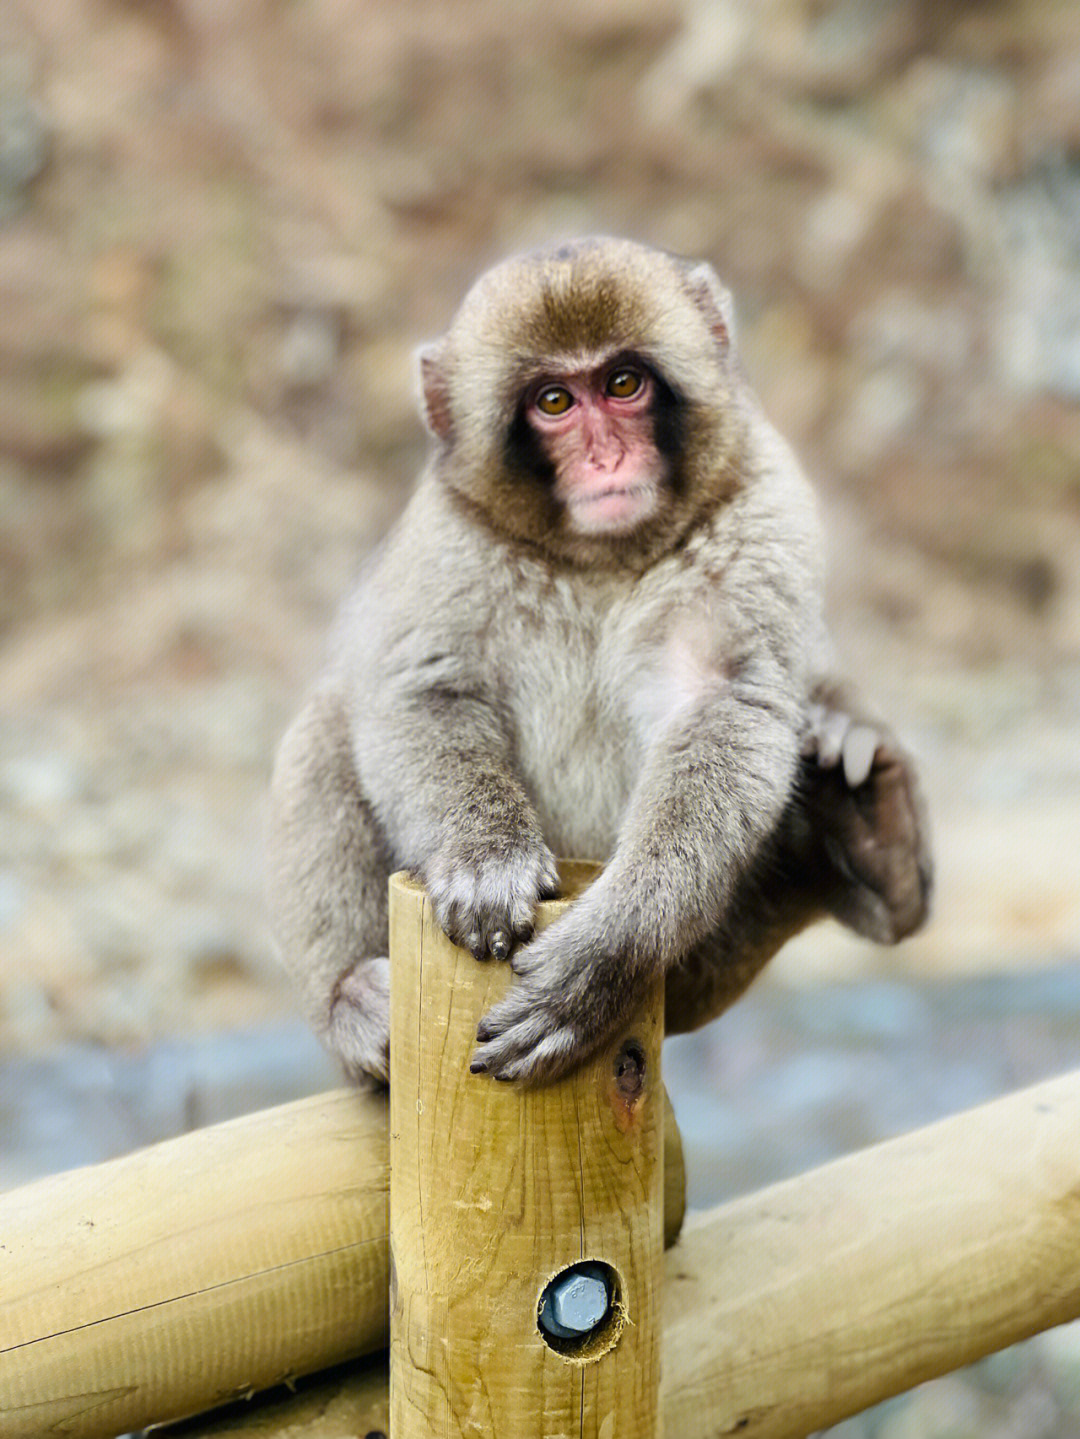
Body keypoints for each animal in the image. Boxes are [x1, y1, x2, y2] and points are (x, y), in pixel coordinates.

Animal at [266, 238, 931, 1087]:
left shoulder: (760, 501)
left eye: (622, 384)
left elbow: (727, 702)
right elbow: (424, 688)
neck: (599, 559)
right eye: (555, 402)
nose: (607, 456)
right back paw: (350, 1000)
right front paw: (486, 856)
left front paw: (608, 951)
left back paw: (874, 844)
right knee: (328, 719)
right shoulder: (446, 534)